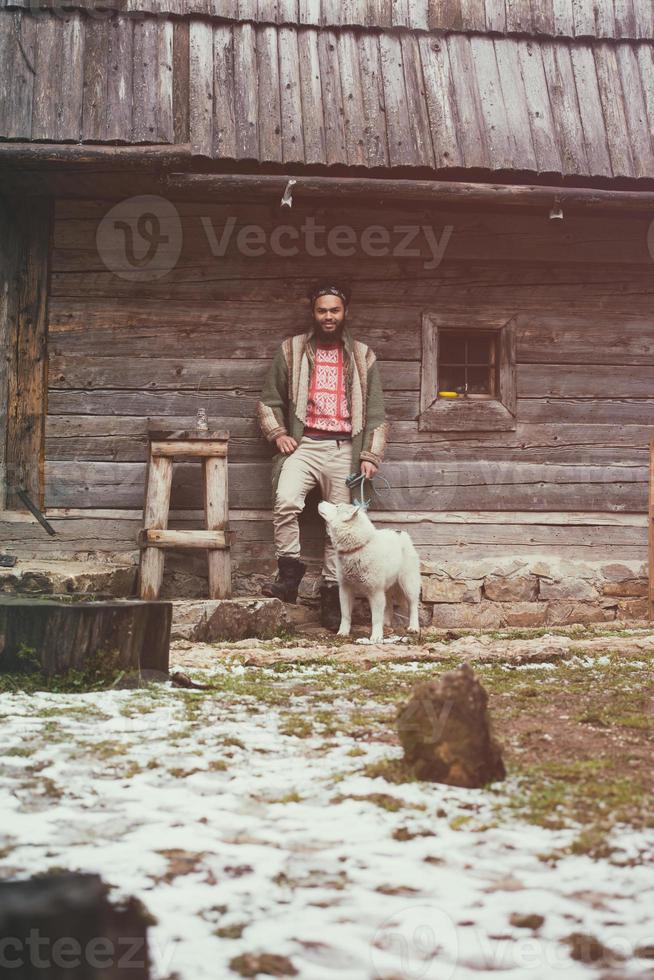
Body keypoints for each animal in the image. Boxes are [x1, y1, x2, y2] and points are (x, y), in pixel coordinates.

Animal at [320, 502, 422, 648]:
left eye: (337, 506)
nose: (321, 502)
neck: (357, 548)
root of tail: (401, 534)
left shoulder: (375, 592)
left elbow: (375, 618)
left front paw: (376, 637)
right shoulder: (345, 590)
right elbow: (345, 615)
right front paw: (343, 632)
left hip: (408, 585)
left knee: (413, 606)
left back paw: (413, 627)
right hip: (386, 588)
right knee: (388, 605)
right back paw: (386, 625)